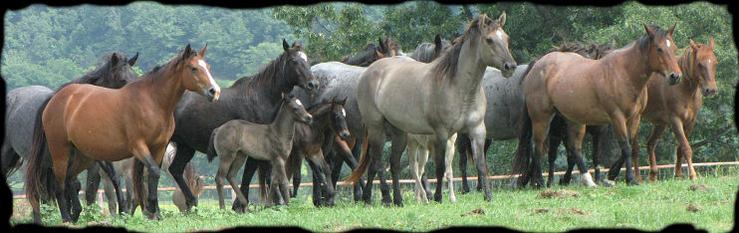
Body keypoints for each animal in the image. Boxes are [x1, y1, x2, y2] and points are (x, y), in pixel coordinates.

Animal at [6, 52, 139, 223]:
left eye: (135, 77)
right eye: (122, 79)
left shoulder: (94, 159)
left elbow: (101, 184)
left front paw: (121, 212)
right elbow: (69, 186)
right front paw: (72, 215)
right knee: (38, 192)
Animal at [25, 42, 220, 223]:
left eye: (208, 67)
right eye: (193, 68)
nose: (214, 91)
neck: (152, 102)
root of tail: (55, 99)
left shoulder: (158, 147)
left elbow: (153, 177)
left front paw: (155, 213)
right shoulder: (138, 147)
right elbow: (150, 174)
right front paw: (149, 211)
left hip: (81, 155)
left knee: (70, 179)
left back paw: (75, 214)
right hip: (60, 151)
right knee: (58, 182)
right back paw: (66, 217)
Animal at [166, 38, 316, 213]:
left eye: (307, 59)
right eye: (293, 61)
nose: (313, 84)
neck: (260, 97)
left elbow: (268, 176)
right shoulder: (255, 151)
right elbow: (249, 176)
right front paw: (241, 205)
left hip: (186, 147)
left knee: (175, 169)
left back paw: (191, 202)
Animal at [516, 24, 684, 187]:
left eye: (674, 48)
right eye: (659, 48)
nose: (675, 76)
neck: (624, 74)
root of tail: (537, 65)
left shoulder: (635, 117)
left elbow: (627, 146)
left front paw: (613, 175)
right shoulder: (617, 117)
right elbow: (625, 147)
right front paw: (629, 178)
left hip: (574, 119)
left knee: (574, 148)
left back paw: (588, 181)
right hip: (542, 118)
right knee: (537, 147)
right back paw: (540, 182)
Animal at [632, 36, 720, 182]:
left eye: (715, 62)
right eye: (699, 64)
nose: (711, 90)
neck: (683, 87)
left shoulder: (690, 122)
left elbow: (680, 149)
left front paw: (678, 175)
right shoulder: (675, 120)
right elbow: (686, 147)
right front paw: (693, 175)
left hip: (660, 124)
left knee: (650, 144)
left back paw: (653, 175)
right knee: (635, 148)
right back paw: (637, 178)